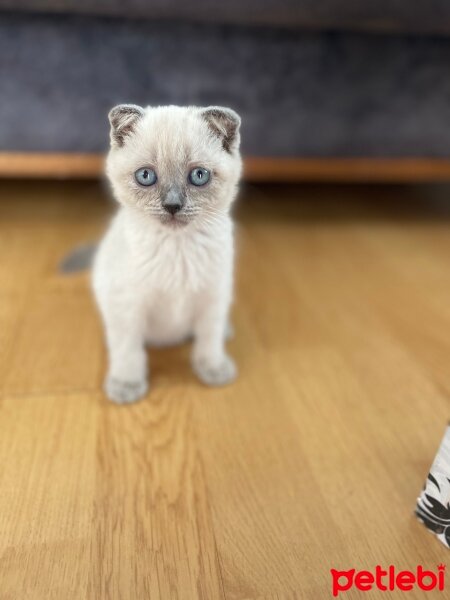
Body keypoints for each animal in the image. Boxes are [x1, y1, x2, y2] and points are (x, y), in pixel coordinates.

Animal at [92, 104, 243, 404]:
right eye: (145, 176)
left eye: (199, 176)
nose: (172, 205)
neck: (177, 248)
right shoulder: (125, 306)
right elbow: (128, 351)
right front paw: (126, 385)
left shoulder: (213, 295)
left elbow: (208, 339)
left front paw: (214, 369)